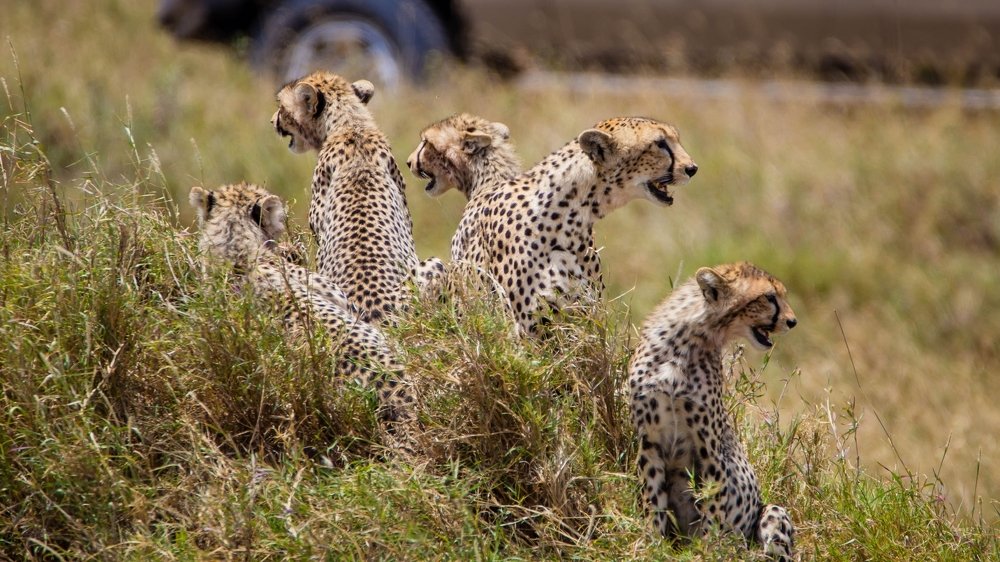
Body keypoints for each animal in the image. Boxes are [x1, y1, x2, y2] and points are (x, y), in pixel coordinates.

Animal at [628, 261, 798, 560]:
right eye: (769, 297)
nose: (792, 321)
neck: (682, 347)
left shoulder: (708, 447)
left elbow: (713, 505)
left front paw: (708, 551)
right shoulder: (649, 443)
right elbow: (653, 499)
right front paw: (654, 545)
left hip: (772, 513)